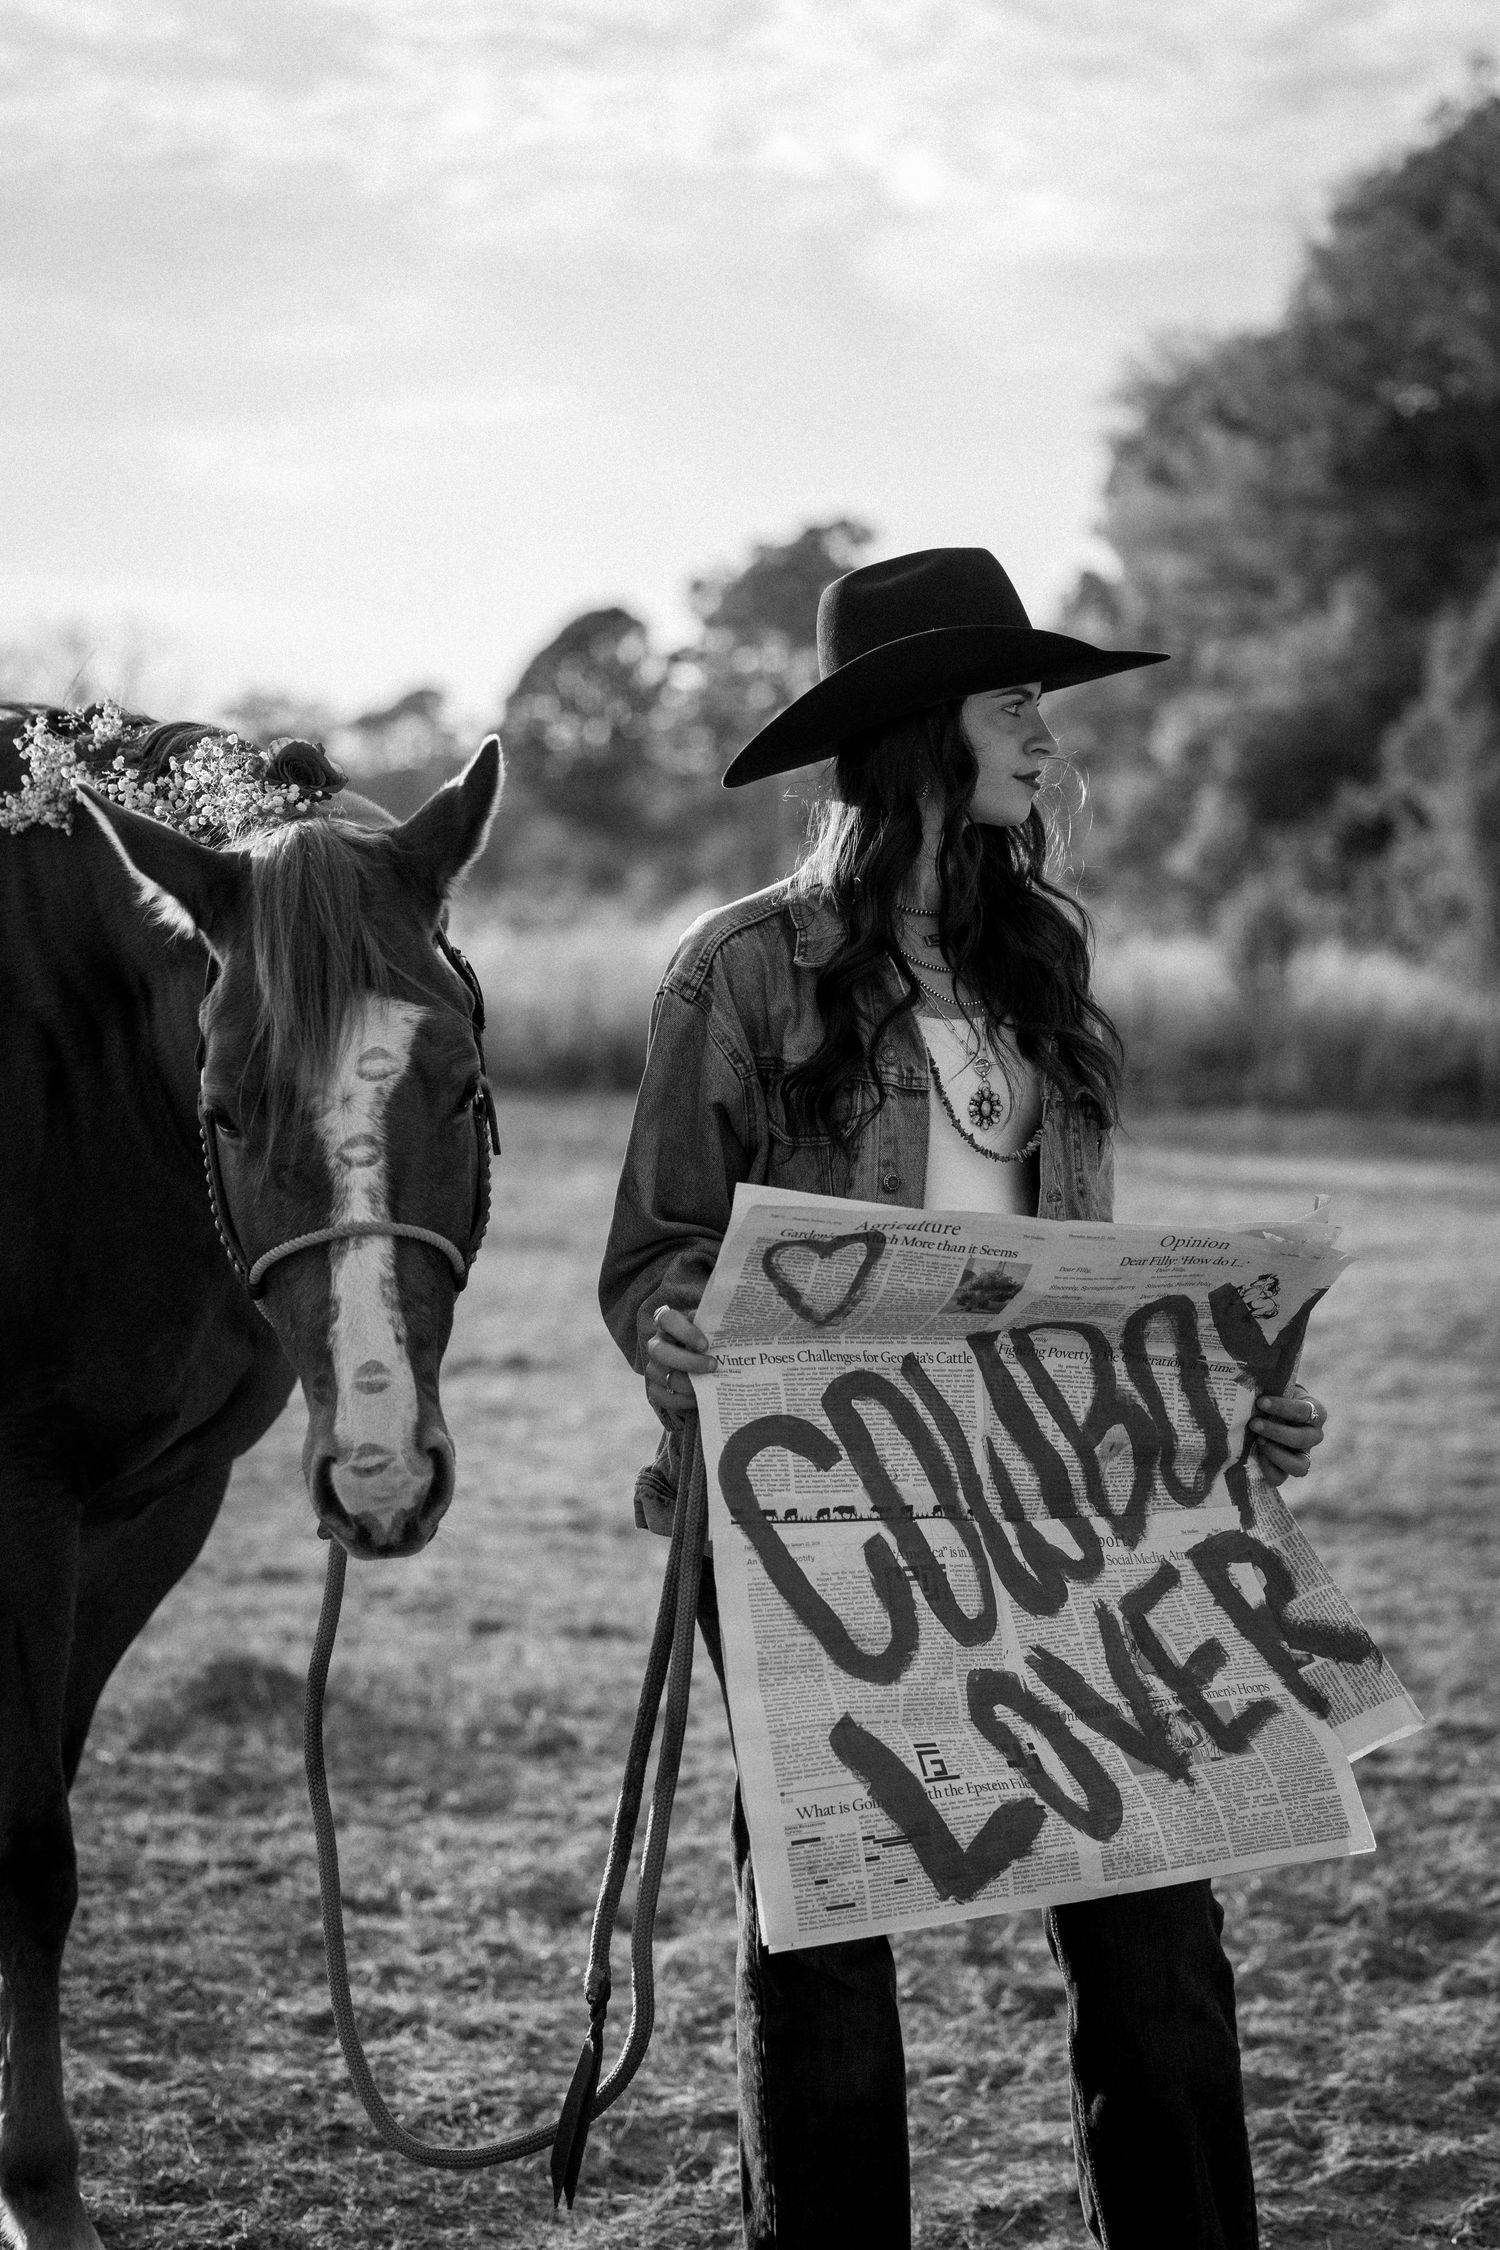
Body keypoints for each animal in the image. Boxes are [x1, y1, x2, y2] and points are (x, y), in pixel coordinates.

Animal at [0, 703, 502, 2250]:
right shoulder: (22, 1511)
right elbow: (29, 1850)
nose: (382, 1474)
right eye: (223, 1108)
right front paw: (38, 2191)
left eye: (463, 1085)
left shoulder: (150, 1510)